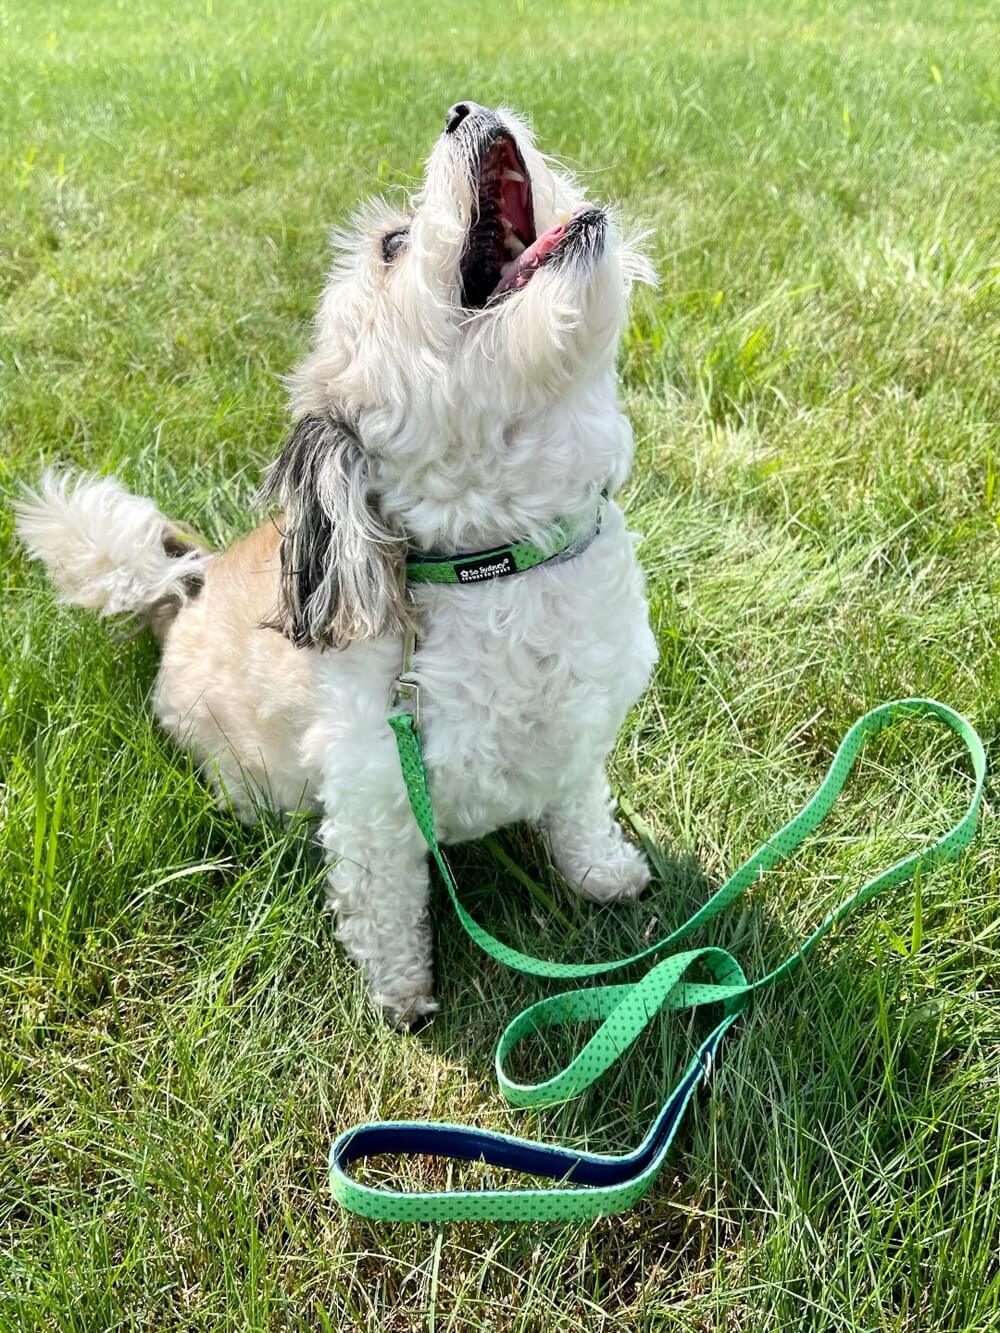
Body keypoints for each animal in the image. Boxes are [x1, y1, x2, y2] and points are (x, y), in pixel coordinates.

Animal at [15, 98, 661, 1023]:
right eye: (393, 244)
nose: (463, 108)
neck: (505, 562)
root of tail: (180, 590)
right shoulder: (372, 805)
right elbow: (383, 904)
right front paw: (402, 996)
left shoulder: (577, 746)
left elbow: (578, 813)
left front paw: (607, 875)